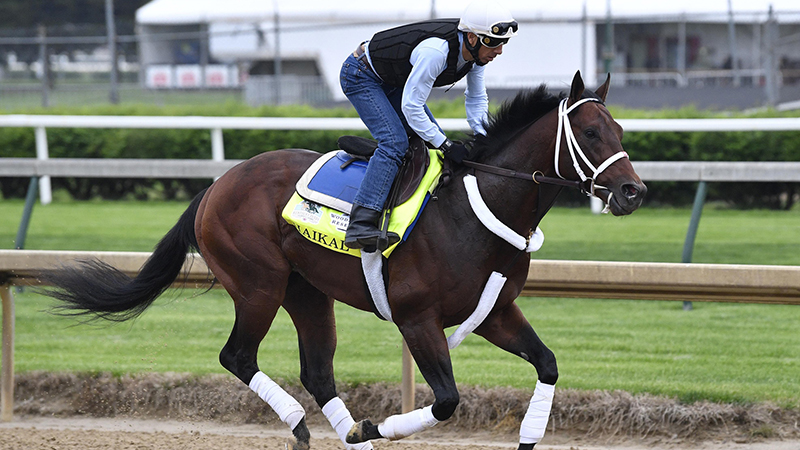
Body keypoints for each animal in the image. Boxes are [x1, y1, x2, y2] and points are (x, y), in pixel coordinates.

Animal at [40, 72, 648, 448]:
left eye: (619, 129)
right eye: (590, 131)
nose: (632, 192)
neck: (476, 212)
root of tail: (214, 187)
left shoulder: (496, 312)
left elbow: (547, 365)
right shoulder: (417, 318)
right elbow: (447, 400)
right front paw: (375, 426)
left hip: (307, 292)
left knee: (317, 369)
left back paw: (344, 431)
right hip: (258, 285)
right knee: (238, 355)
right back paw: (307, 425)